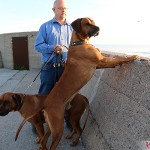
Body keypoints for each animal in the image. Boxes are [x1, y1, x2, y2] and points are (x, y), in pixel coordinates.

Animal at [15, 17, 139, 149]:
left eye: (94, 22)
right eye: (87, 23)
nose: (99, 28)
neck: (79, 43)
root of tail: (46, 104)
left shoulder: (100, 64)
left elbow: (115, 61)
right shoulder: (102, 60)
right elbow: (118, 58)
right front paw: (133, 56)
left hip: (51, 125)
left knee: (44, 140)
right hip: (58, 127)